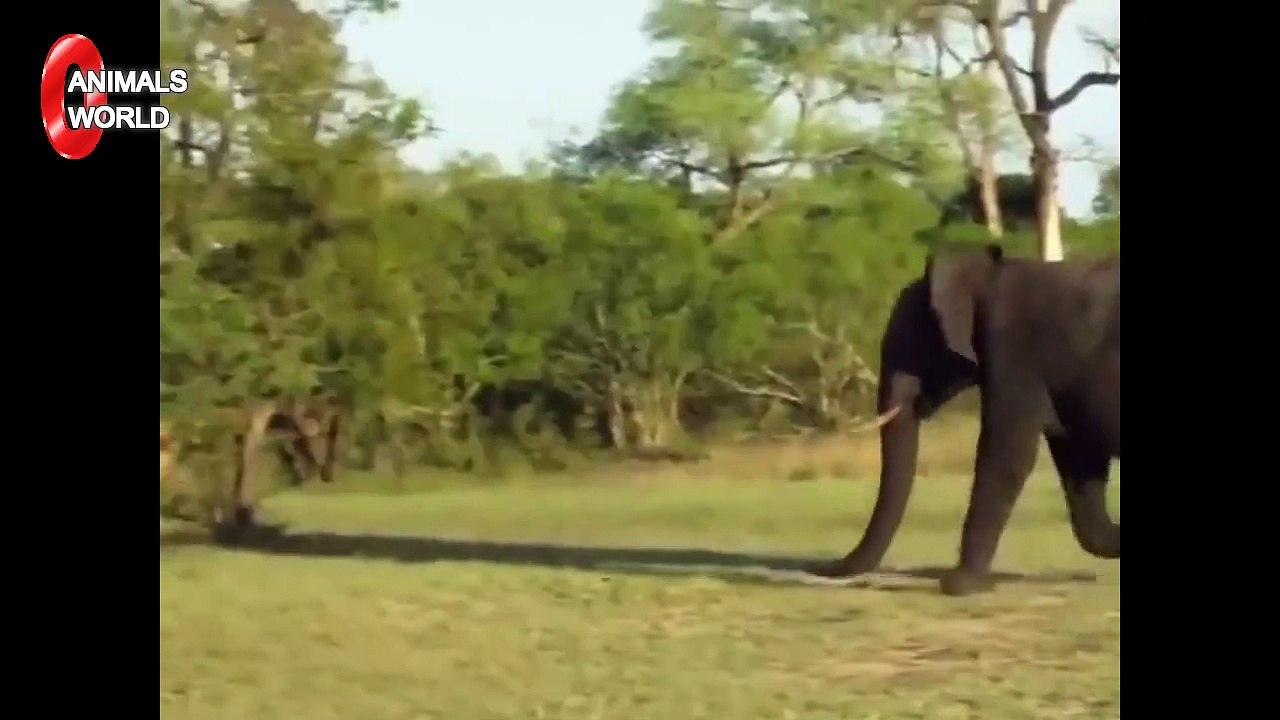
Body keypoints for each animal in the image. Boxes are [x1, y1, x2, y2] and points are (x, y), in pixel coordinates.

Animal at [814, 244, 1120, 596]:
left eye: (911, 343)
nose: (824, 567)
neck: (984, 275)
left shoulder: (1011, 350)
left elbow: (1006, 456)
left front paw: (958, 585)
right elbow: (1080, 460)